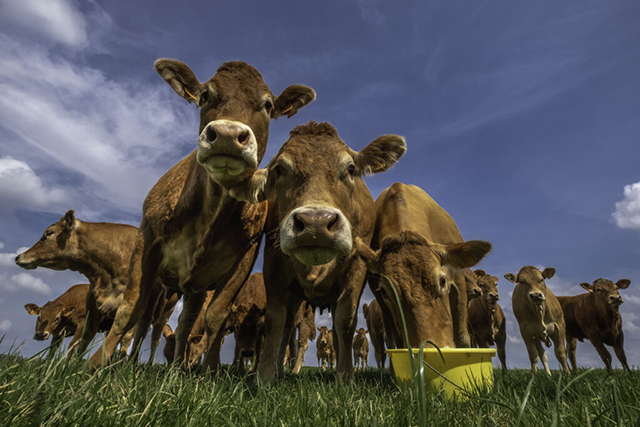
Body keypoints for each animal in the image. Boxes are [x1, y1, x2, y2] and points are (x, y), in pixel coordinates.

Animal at [15, 212, 180, 362]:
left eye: (49, 233)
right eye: (38, 317)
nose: (18, 256)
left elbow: (124, 339)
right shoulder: (92, 306)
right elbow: (84, 338)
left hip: (163, 315)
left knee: (152, 339)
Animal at [85, 58, 316, 372]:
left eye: (267, 104)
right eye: (205, 95)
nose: (228, 135)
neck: (210, 209)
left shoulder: (244, 258)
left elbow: (216, 316)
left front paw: (210, 371)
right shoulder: (147, 240)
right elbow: (129, 308)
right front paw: (94, 364)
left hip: (196, 287)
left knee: (186, 321)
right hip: (170, 286)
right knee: (151, 319)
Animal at [238, 120, 408, 382]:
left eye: (350, 168)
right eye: (279, 169)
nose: (315, 223)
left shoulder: (357, 267)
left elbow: (345, 322)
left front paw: (345, 376)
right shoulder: (274, 262)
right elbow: (275, 320)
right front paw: (264, 376)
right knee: (288, 328)